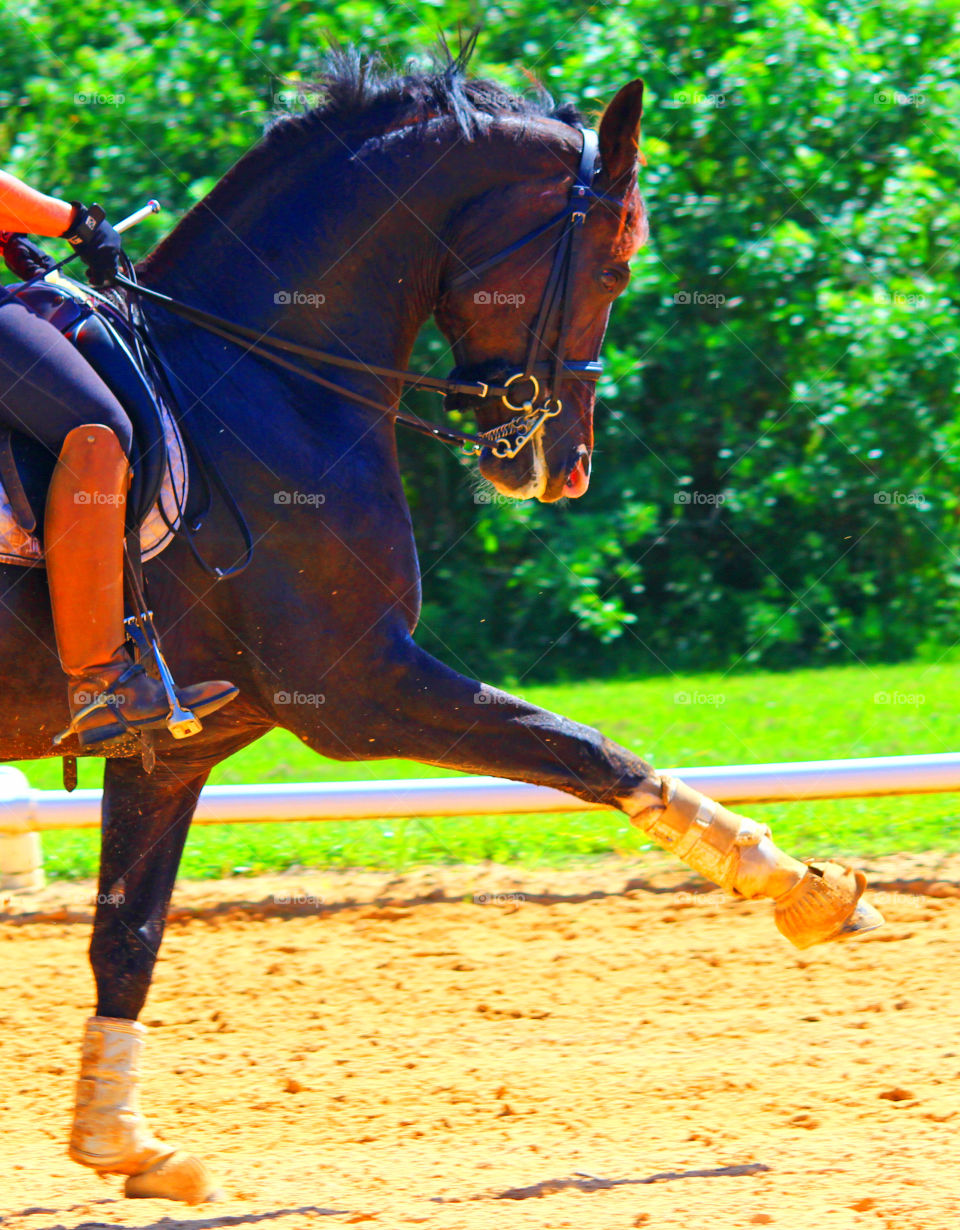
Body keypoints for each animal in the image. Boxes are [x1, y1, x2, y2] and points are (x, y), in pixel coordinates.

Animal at [2, 49, 882, 1203]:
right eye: (614, 267)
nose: (564, 466)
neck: (258, 382)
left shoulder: (178, 742)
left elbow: (128, 933)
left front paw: (125, 1143)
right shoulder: (358, 690)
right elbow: (593, 752)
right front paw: (801, 889)